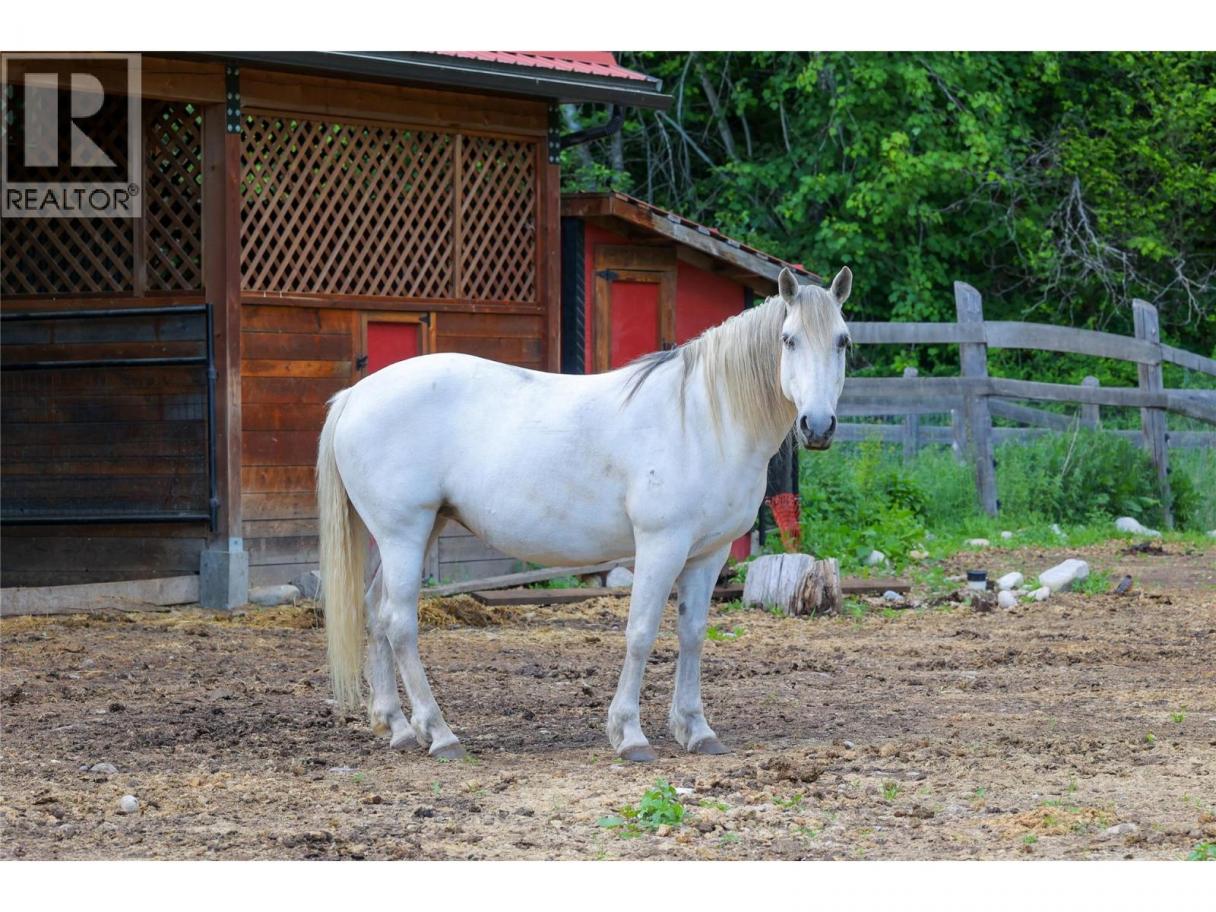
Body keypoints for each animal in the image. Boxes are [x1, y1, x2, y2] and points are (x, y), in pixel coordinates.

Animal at [317, 266, 853, 761]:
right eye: (788, 339)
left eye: (843, 342)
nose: (818, 425)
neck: (702, 418)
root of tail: (355, 396)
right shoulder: (660, 545)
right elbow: (641, 633)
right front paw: (630, 735)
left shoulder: (708, 555)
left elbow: (693, 634)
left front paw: (697, 731)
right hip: (403, 534)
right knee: (399, 621)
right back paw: (440, 733)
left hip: (417, 531)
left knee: (375, 611)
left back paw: (398, 726)